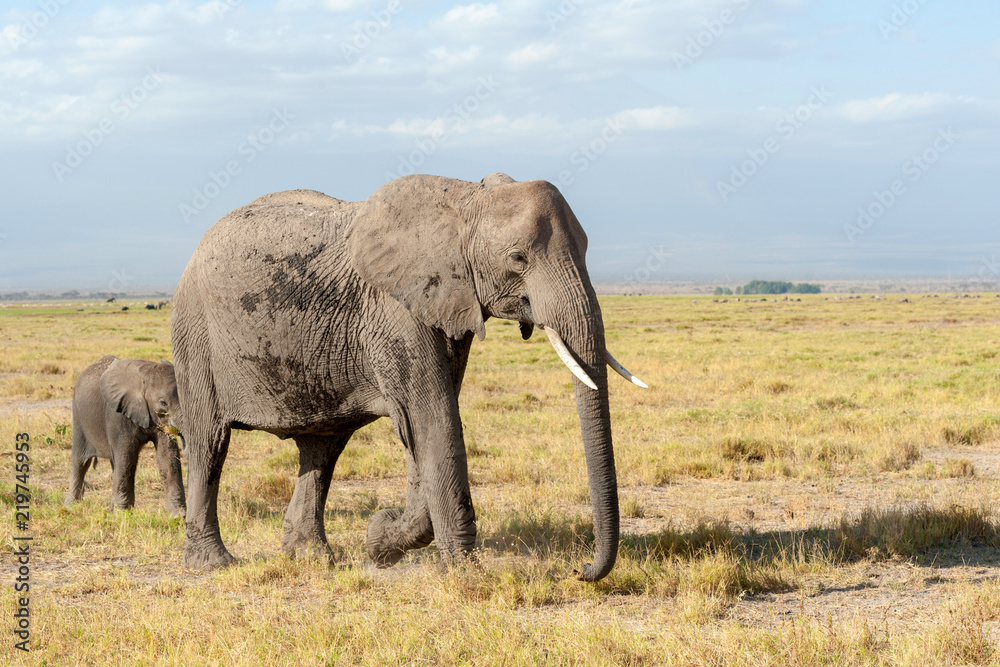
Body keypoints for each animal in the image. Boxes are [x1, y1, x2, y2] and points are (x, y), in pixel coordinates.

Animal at [65, 355, 186, 517]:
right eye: (163, 402)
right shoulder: (118, 414)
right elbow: (127, 458)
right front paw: (123, 514)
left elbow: (167, 457)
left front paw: (179, 515)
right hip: (79, 417)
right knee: (80, 462)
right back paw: (70, 506)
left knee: (113, 463)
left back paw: (109, 510)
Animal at [171, 172, 645, 581]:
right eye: (517, 259)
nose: (580, 570)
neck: (465, 200)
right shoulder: (394, 310)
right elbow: (434, 420)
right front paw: (466, 576)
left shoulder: (449, 304)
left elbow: (425, 427)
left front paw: (380, 542)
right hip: (194, 333)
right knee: (210, 444)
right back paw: (214, 564)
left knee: (322, 449)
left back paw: (311, 559)